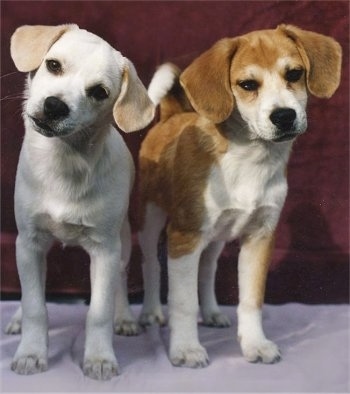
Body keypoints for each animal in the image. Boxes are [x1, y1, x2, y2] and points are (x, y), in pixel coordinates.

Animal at [6, 23, 154, 378]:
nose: (54, 106)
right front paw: (31, 353)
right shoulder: (28, 243)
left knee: (120, 281)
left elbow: (98, 313)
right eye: (53, 65)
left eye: (99, 92)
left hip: (122, 243)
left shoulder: (104, 252)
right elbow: (35, 306)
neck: (65, 163)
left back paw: (124, 317)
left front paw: (99, 358)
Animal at [137, 26, 342, 368]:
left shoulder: (260, 237)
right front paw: (186, 349)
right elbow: (183, 302)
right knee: (150, 264)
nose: (284, 116)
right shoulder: (184, 237)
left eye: (294, 73)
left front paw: (255, 344)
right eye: (248, 85)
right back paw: (149, 313)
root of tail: (171, 116)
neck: (249, 160)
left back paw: (212, 312)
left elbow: (251, 299)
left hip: (216, 239)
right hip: (149, 220)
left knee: (207, 271)